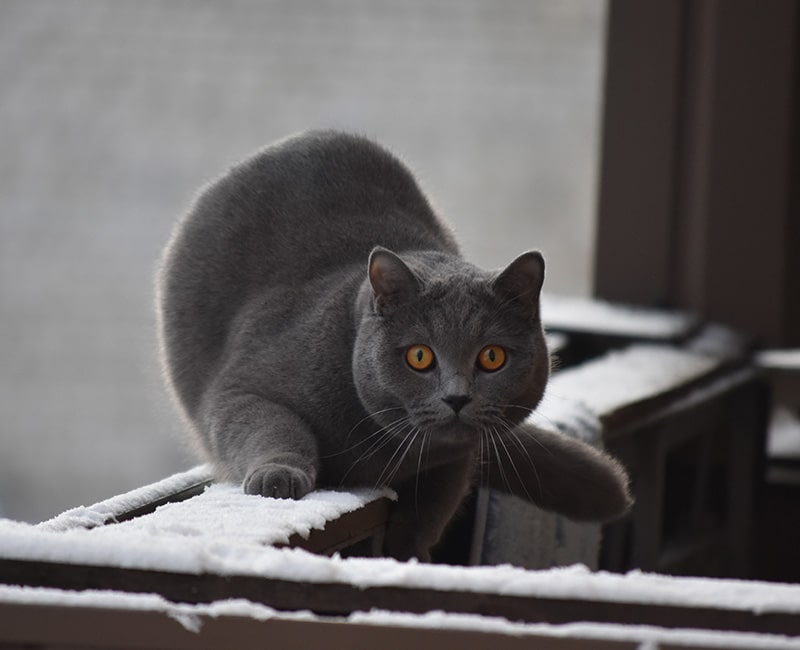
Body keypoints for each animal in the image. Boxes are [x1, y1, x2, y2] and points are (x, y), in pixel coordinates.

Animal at [156, 130, 632, 556]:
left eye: (492, 357)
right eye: (419, 356)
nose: (457, 397)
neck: (383, 449)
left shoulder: (456, 455)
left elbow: (434, 504)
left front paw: (409, 549)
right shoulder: (242, 388)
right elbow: (272, 424)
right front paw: (279, 477)